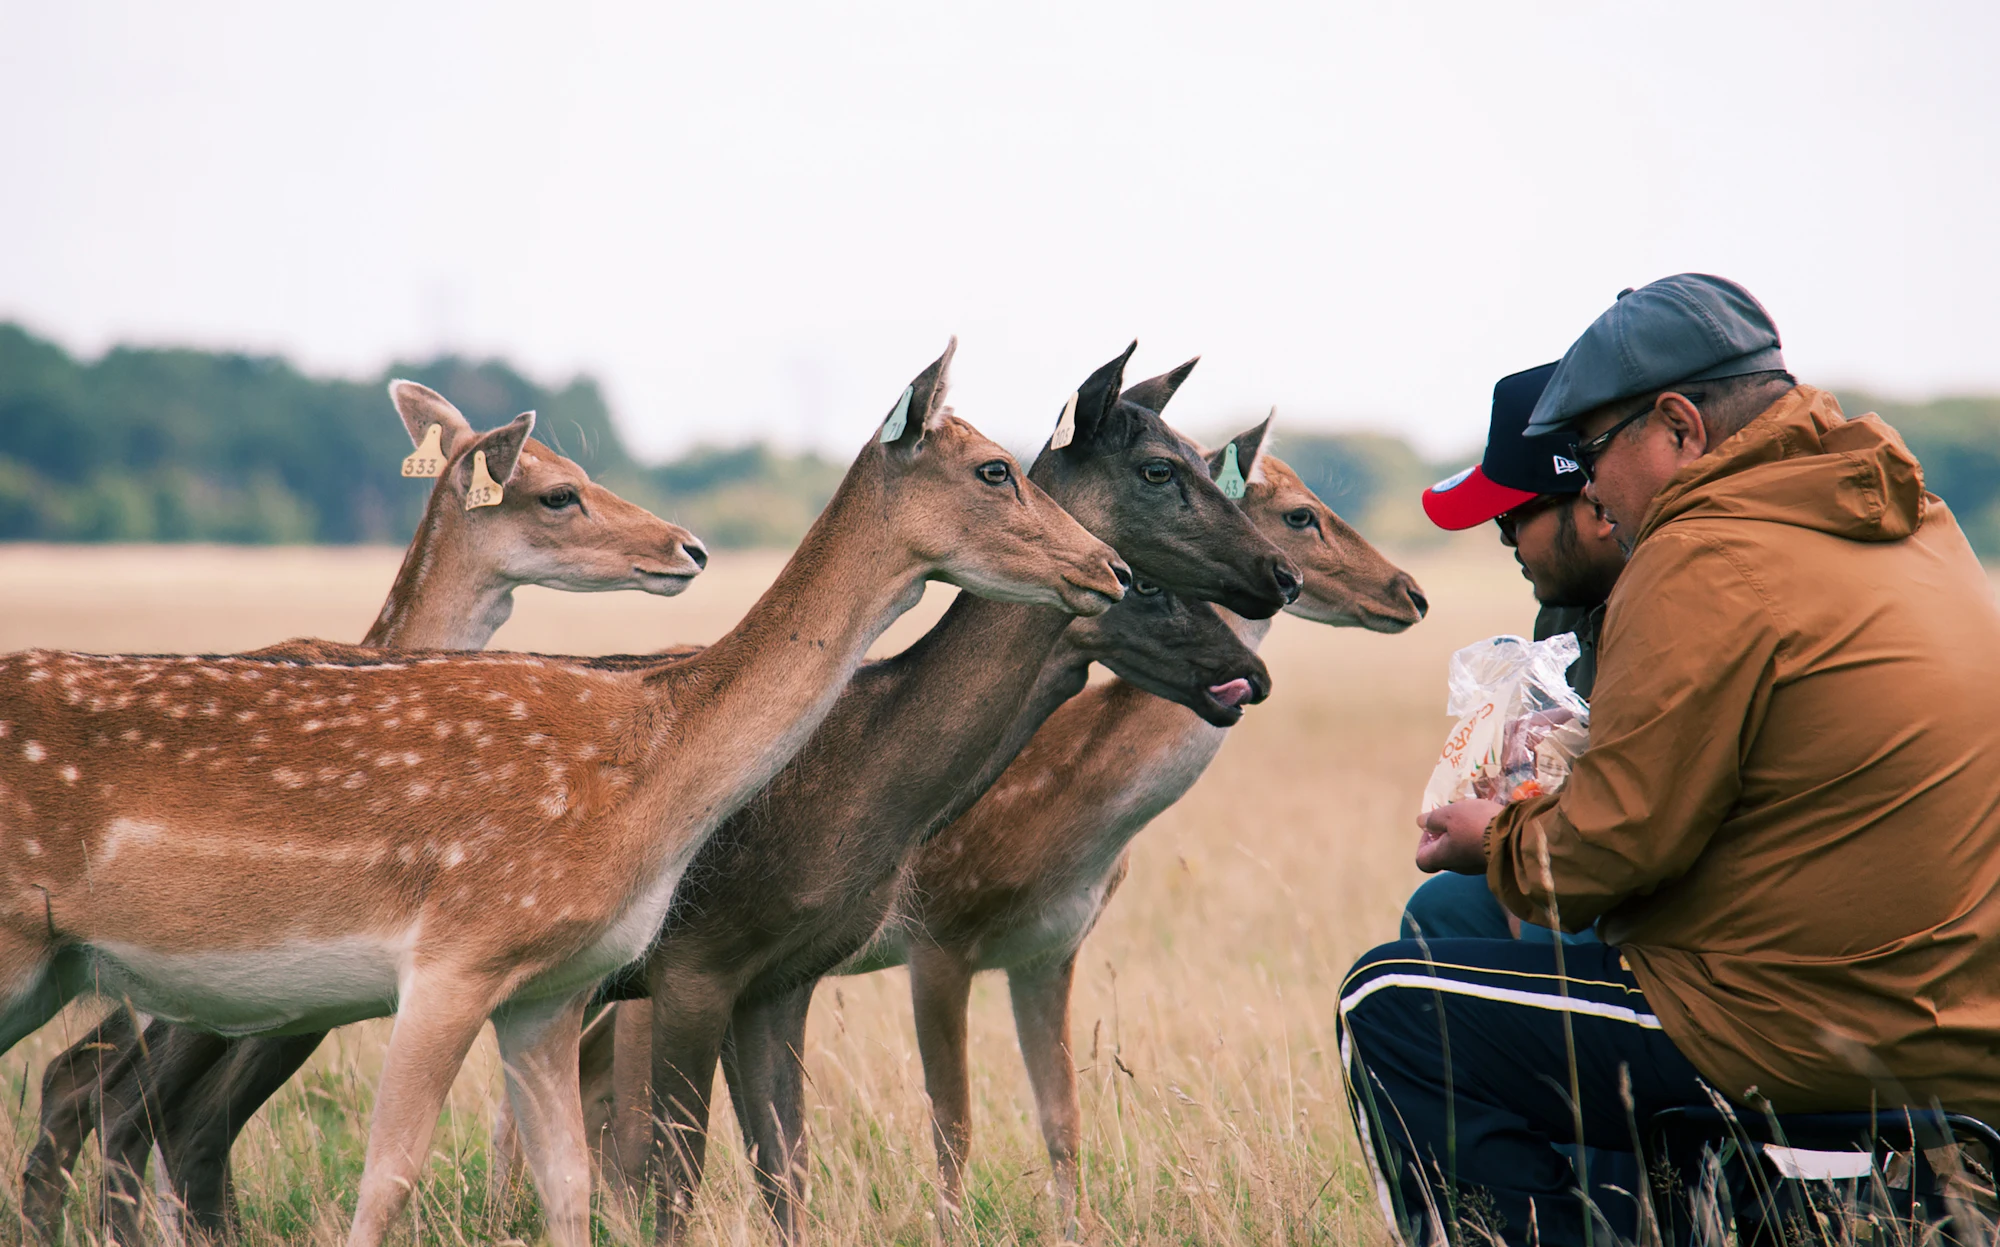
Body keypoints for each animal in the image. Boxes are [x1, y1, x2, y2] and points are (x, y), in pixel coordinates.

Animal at [519, 347, 1303, 1245]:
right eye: (1159, 467)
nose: (1278, 579)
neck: (864, 774)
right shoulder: (699, 959)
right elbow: (686, 1170)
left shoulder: (775, 979)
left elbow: (787, 1171)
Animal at [835, 417, 1428, 1236]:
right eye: (1300, 513)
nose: (1413, 593)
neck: (1083, 828)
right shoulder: (935, 935)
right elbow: (952, 1126)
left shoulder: (1051, 948)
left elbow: (1063, 1119)